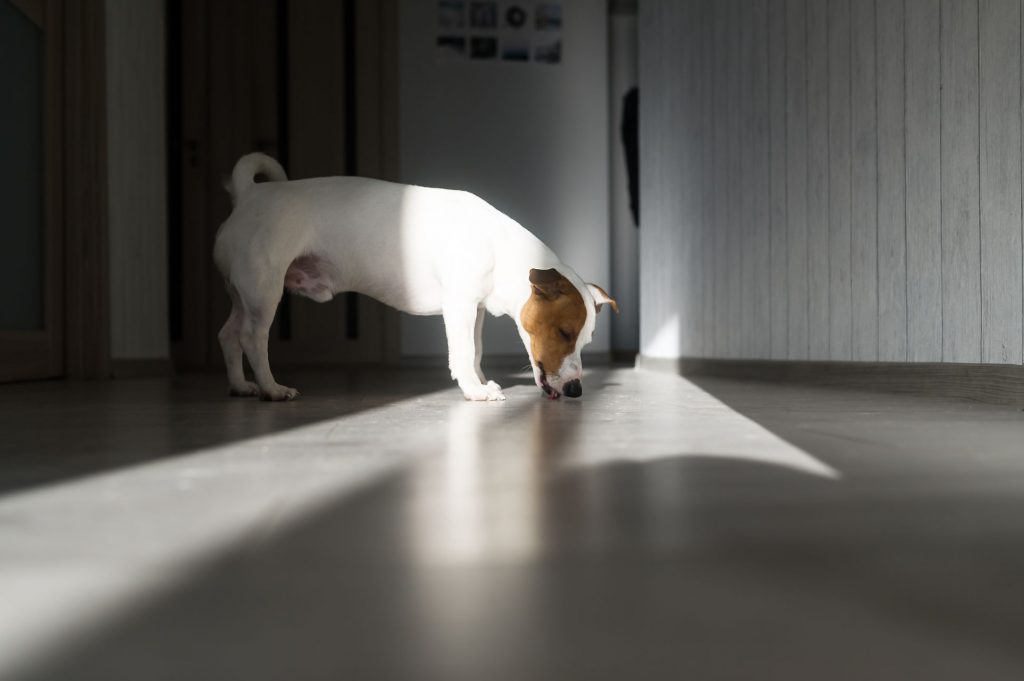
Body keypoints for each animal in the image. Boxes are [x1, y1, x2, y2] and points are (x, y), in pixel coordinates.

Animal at [211, 151, 614, 401]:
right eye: (563, 333)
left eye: (586, 341)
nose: (577, 390)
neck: (501, 249)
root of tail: (249, 195)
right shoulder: (460, 307)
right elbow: (464, 351)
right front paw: (474, 390)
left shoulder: (475, 311)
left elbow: (477, 350)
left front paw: (480, 380)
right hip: (264, 291)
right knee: (252, 337)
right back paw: (271, 388)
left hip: (242, 294)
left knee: (228, 334)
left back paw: (240, 385)